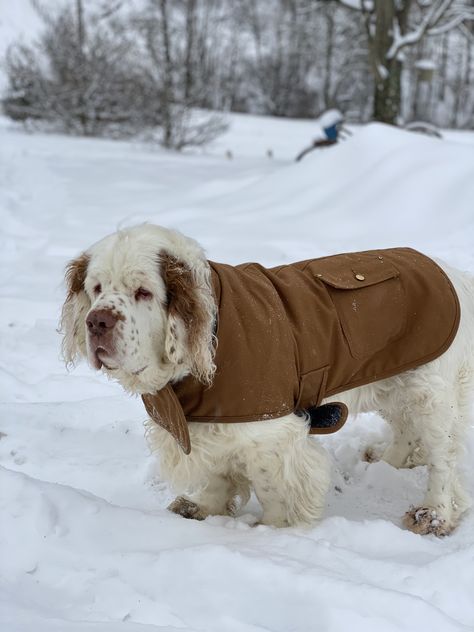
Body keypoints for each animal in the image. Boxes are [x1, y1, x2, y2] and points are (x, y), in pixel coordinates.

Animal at [60, 225, 474, 536]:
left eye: (143, 292)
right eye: (96, 288)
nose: (97, 322)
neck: (211, 330)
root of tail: (453, 274)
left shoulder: (271, 432)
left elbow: (272, 485)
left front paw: (274, 529)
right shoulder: (209, 421)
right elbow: (216, 475)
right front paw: (203, 508)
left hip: (431, 392)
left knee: (443, 458)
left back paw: (433, 514)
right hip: (394, 378)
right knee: (406, 429)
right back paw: (388, 460)